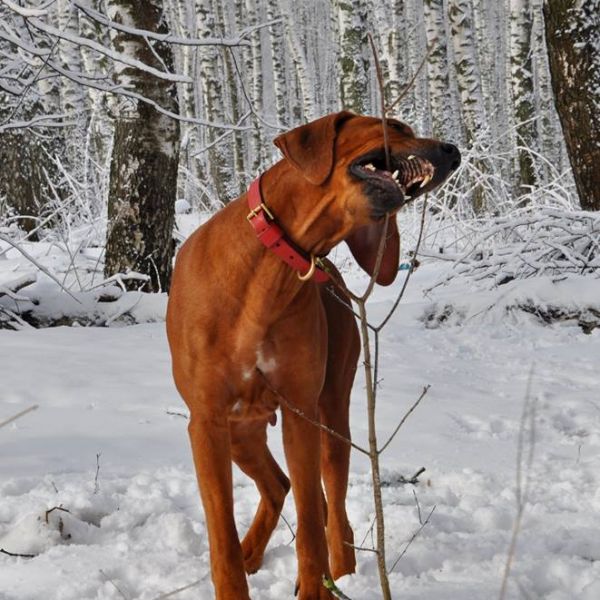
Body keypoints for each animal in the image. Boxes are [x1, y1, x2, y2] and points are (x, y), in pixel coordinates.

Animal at [166, 111, 460, 599]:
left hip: (332, 414)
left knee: (330, 505)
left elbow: (310, 523)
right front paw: (235, 572)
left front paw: (315, 585)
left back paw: (342, 574)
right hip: (239, 431)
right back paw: (251, 552)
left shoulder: (300, 412)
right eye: (395, 126)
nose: (454, 151)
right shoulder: (206, 422)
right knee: (278, 484)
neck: (271, 265)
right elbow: (221, 537)